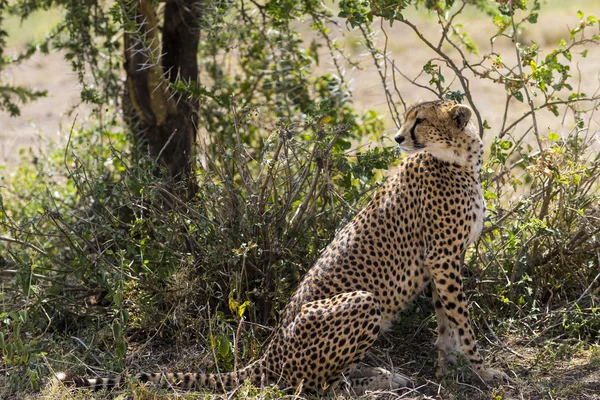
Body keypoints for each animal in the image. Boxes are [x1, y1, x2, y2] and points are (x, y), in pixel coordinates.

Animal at [58, 100, 506, 394]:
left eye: (420, 120)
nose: (398, 137)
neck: (460, 158)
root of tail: (270, 351)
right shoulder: (443, 257)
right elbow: (462, 322)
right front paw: (482, 372)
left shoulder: (444, 259)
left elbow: (448, 321)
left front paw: (450, 369)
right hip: (361, 302)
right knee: (315, 384)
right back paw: (379, 381)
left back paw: (379, 375)